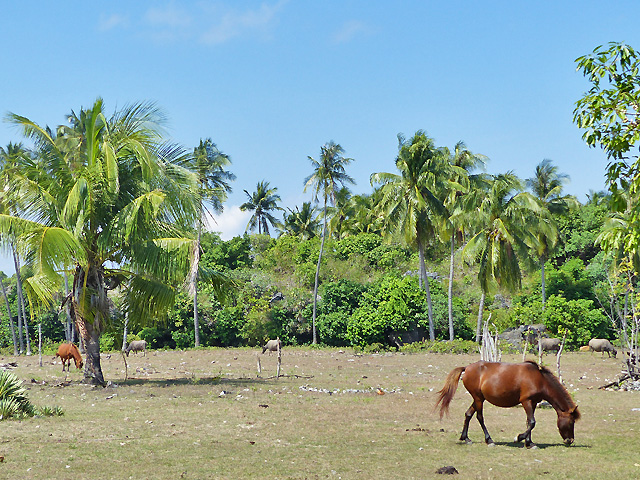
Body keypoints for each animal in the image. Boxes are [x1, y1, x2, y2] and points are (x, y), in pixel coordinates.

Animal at [436, 362, 580, 448]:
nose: (570, 440)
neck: (539, 379)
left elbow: (529, 422)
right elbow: (532, 422)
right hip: (478, 399)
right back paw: (489, 440)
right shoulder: (526, 401)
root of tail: (467, 368)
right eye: (571, 422)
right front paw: (519, 438)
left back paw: (466, 438)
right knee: (479, 417)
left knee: (468, 414)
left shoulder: (533, 402)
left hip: (479, 399)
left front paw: (529, 443)